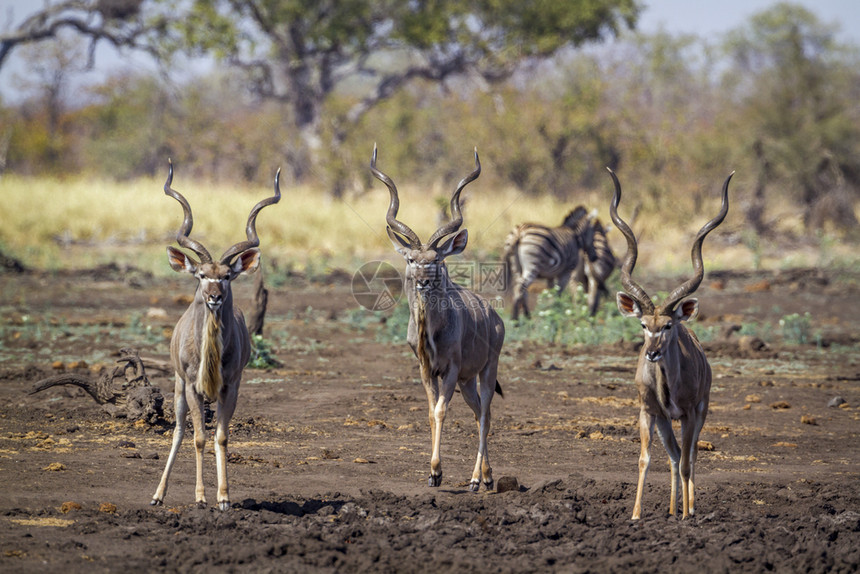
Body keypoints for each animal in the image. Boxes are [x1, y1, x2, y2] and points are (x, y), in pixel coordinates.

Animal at [149, 161, 280, 512]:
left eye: (227, 276)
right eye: (201, 274)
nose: (214, 298)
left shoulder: (230, 385)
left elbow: (221, 436)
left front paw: (223, 498)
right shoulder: (192, 386)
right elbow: (198, 437)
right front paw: (200, 497)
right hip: (178, 386)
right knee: (179, 430)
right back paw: (158, 495)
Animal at [370, 146, 504, 492]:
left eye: (437, 259)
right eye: (411, 259)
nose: (423, 281)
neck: (431, 332)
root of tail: (495, 317)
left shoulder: (451, 369)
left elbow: (443, 410)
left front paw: (437, 471)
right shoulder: (426, 368)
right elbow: (431, 412)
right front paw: (433, 473)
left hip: (487, 370)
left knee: (486, 414)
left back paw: (475, 479)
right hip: (468, 381)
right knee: (478, 413)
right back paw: (487, 476)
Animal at [604, 168, 732, 520]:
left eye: (668, 325)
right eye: (643, 325)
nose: (652, 353)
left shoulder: (688, 413)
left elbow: (689, 461)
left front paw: (688, 514)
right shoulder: (649, 412)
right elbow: (646, 459)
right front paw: (636, 515)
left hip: (700, 411)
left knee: (689, 457)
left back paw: (688, 508)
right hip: (665, 421)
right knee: (674, 455)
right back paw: (673, 509)